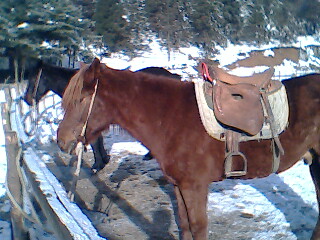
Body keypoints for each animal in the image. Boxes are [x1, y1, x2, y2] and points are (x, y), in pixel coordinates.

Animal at [23, 61, 181, 172]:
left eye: (34, 79)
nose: (27, 100)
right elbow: (98, 142)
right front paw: (104, 159)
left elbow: (95, 143)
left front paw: (98, 164)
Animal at [57, 58, 320, 240]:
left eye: (81, 99)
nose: (61, 141)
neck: (170, 117)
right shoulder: (179, 185)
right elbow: (184, 225)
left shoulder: (195, 187)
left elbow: (197, 227)